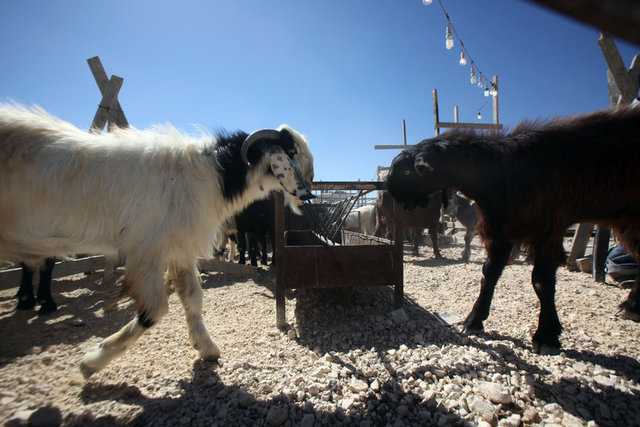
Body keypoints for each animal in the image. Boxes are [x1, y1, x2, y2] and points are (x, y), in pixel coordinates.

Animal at [0, 103, 316, 378]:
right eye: (289, 150)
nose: (310, 189)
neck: (205, 177)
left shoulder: (178, 247)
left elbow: (192, 297)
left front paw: (207, 348)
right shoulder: (146, 250)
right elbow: (155, 309)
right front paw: (93, 360)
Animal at [384, 106, 640, 354]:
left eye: (407, 171)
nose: (390, 191)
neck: (503, 170)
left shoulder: (548, 228)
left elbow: (541, 281)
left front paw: (546, 336)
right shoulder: (500, 228)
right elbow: (489, 272)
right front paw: (474, 320)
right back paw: (631, 306)